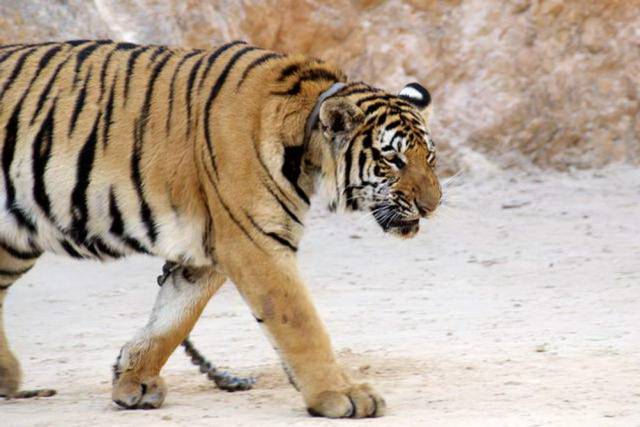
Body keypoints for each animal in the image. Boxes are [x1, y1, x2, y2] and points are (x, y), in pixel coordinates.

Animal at [0, 39, 440, 418]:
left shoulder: (206, 250)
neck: (305, 148)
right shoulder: (253, 243)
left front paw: (133, 380)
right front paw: (341, 395)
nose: (432, 205)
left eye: (430, 158)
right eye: (393, 160)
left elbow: (174, 318)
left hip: (16, 237)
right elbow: (301, 323)